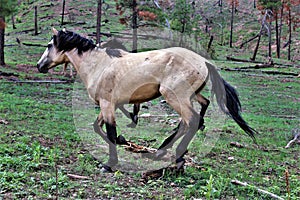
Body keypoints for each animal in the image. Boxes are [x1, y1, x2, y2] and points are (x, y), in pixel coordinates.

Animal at [37, 27, 258, 172]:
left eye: (49, 45)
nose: (39, 66)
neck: (98, 65)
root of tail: (204, 61)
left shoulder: (108, 105)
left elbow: (110, 131)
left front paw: (109, 164)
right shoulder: (108, 105)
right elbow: (98, 128)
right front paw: (122, 142)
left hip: (174, 96)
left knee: (193, 120)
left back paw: (177, 155)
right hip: (190, 96)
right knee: (195, 115)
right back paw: (161, 151)